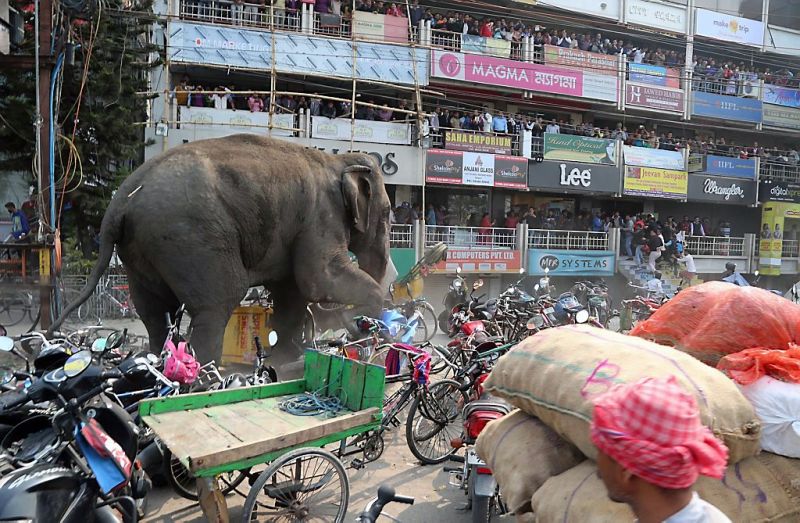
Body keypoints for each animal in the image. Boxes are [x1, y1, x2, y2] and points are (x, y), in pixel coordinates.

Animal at [48, 135, 392, 364]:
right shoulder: (321, 215)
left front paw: (287, 358)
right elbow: (318, 279)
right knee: (219, 300)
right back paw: (207, 375)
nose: (354, 326)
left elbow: (291, 291)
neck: (339, 160)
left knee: (154, 310)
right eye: (389, 213)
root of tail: (121, 200)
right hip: (191, 236)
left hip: (139, 248)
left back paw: (160, 360)